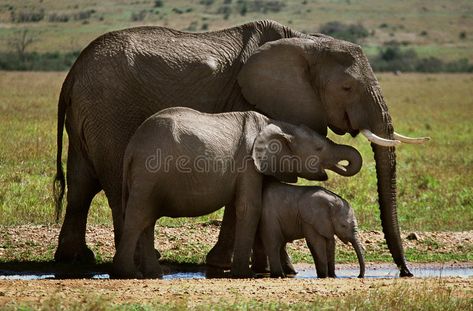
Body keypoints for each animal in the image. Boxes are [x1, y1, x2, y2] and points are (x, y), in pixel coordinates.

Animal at [111, 106, 362, 278]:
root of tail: (131, 148)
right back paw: (127, 274)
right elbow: (249, 208)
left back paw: (153, 275)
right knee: (139, 216)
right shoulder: (248, 163)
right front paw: (244, 274)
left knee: (147, 219)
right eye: (319, 148)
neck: (276, 124)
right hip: (149, 172)